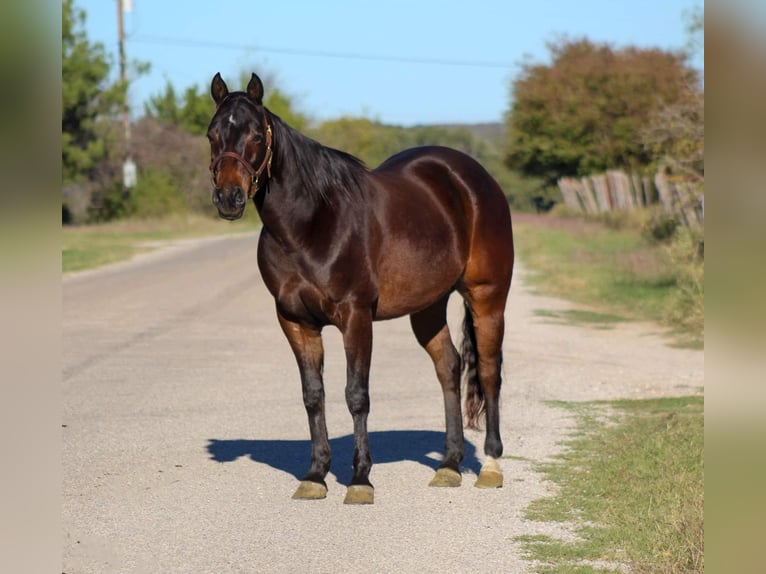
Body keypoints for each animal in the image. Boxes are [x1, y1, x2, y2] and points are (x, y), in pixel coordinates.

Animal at [206, 73, 514, 504]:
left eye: (254, 135)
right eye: (212, 134)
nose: (228, 198)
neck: (313, 222)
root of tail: (473, 178)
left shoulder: (356, 316)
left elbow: (356, 394)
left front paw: (360, 480)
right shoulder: (295, 320)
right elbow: (313, 395)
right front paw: (315, 475)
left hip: (488, 296)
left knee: (488, 371)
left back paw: (490, 465)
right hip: (428, 307)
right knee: (449, 367)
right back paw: (449, 466)